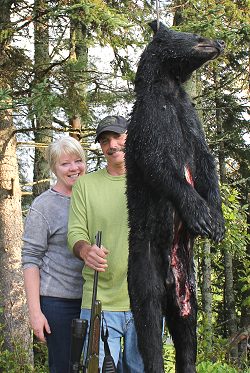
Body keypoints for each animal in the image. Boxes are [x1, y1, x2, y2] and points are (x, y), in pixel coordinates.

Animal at [126, 21, 226, 372]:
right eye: (197, 36)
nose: (220, 41)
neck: (169, 89)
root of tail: (171, 280)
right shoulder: (150, 121)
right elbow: (158, 164)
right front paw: (199, 212)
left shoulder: (190, 121)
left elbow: (207, 163)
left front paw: (216, 220)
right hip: (143, 267)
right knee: (148, 323)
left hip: (188, 288)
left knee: (186, 331)